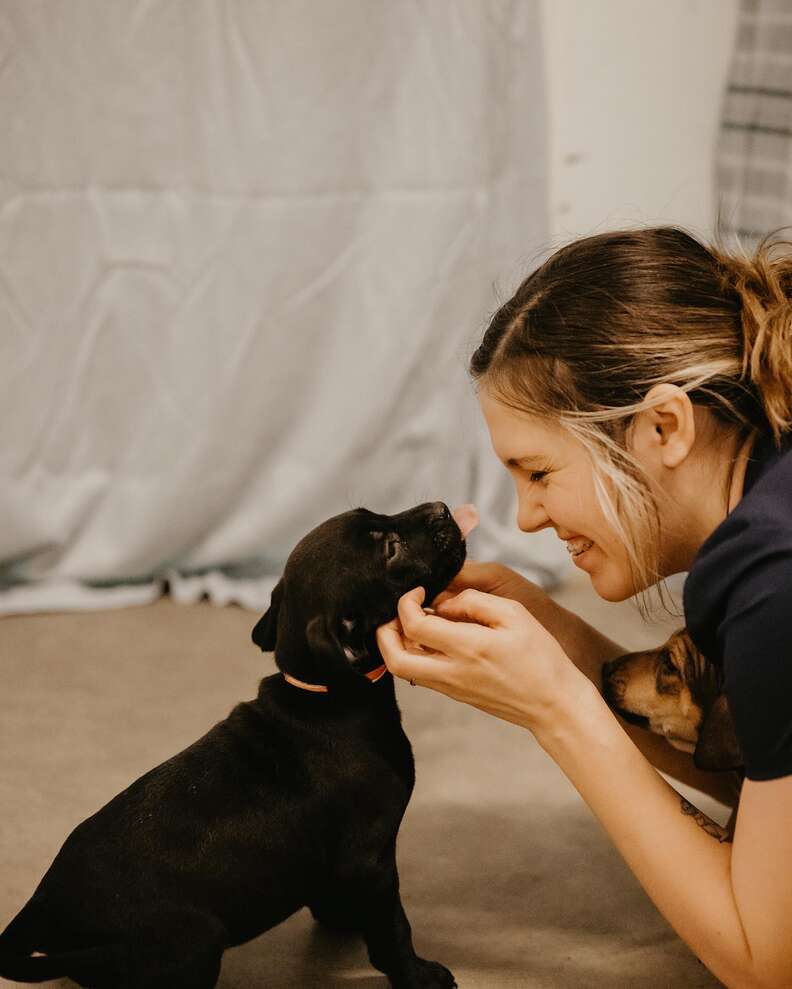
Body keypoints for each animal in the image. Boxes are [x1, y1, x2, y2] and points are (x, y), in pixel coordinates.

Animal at [0, 502, 470, 988]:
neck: (325, 695)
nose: (441, 508)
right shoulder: (370, 861)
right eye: (389, 549)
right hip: (194, 943)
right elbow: (393, 927)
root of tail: (44, 906)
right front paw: (417, 974)